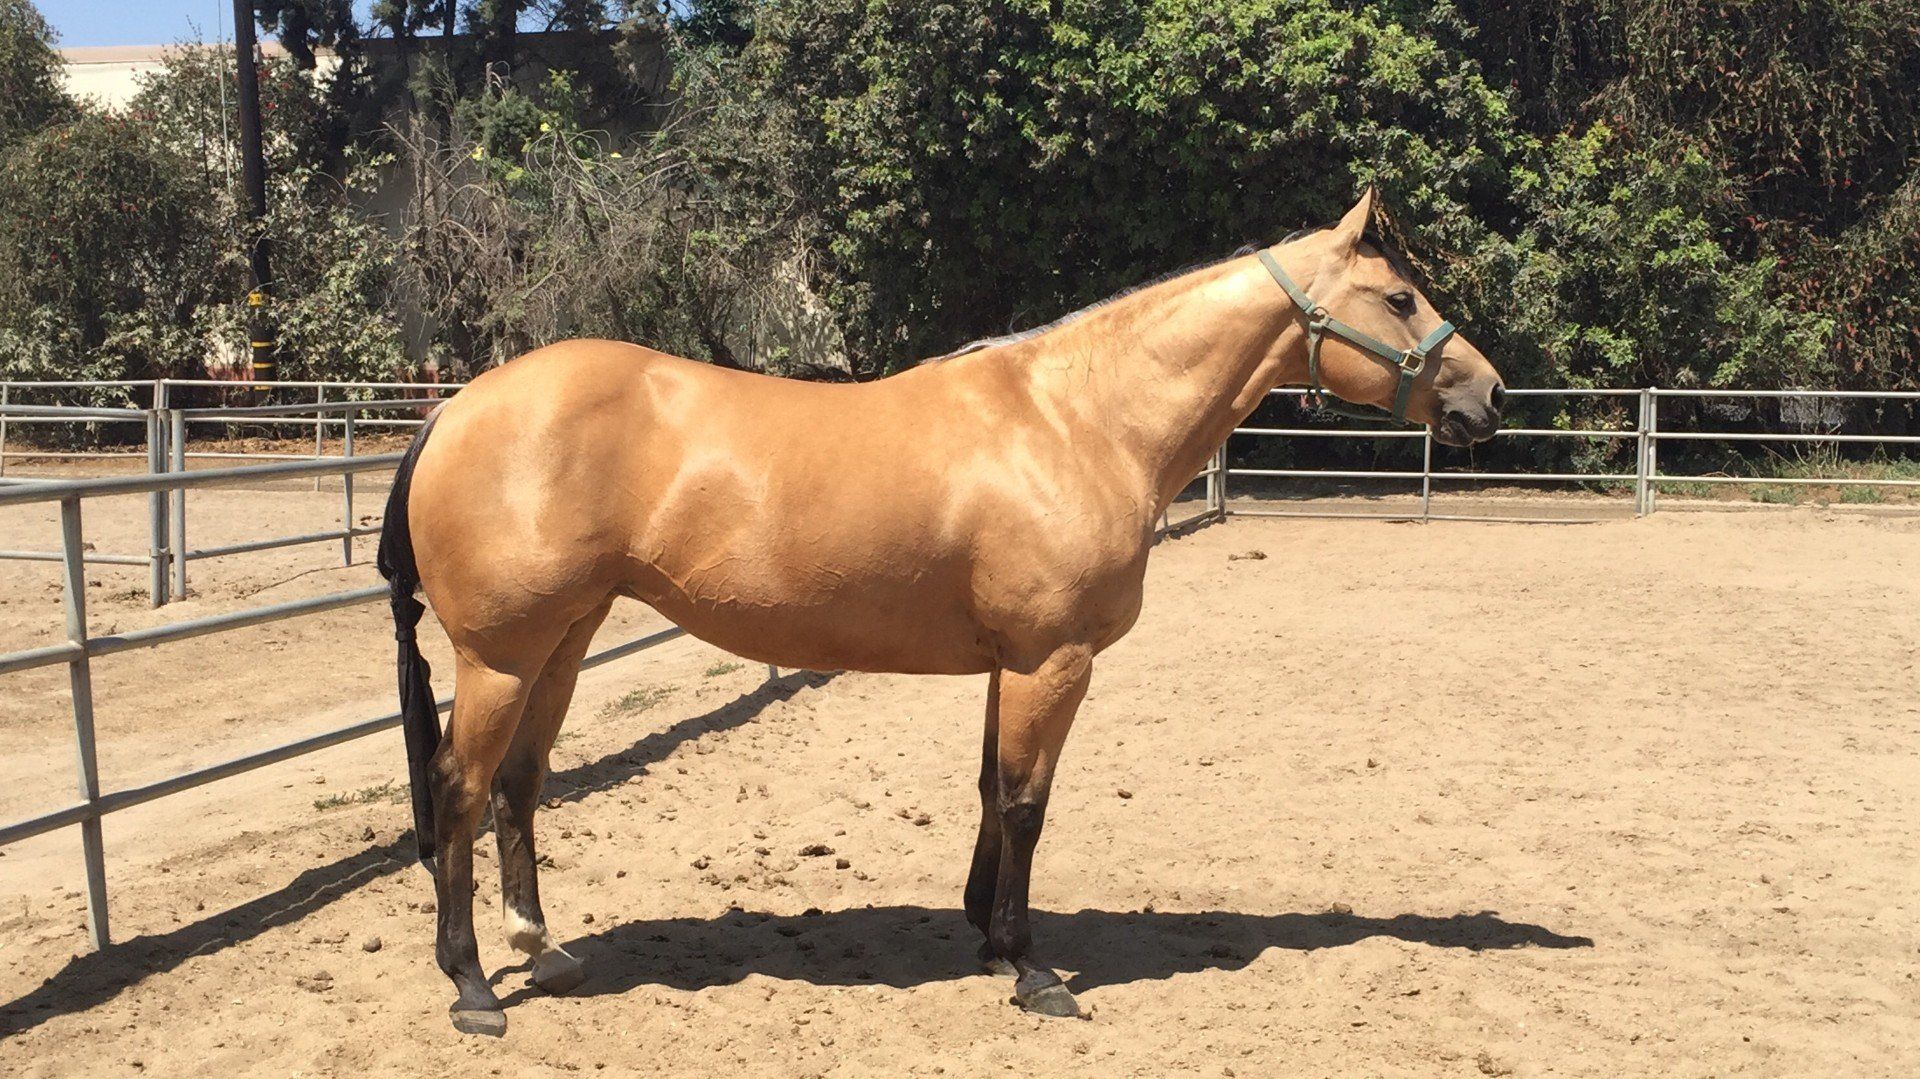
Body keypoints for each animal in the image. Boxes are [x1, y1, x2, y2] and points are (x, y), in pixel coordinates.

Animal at [376, 189, 1506, 1035]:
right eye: (1401, 295)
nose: (1488, 396)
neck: (1078, 418)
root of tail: (457, 406)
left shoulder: (1013, 662)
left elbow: (990, 790)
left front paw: (984, 934)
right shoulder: (1054, 658)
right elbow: (1027, 802)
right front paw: (1031, 969)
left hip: (562, 644)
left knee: (520, 787)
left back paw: (544, 948)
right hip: (500, 658)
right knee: (461, 790)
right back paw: (472, 985)